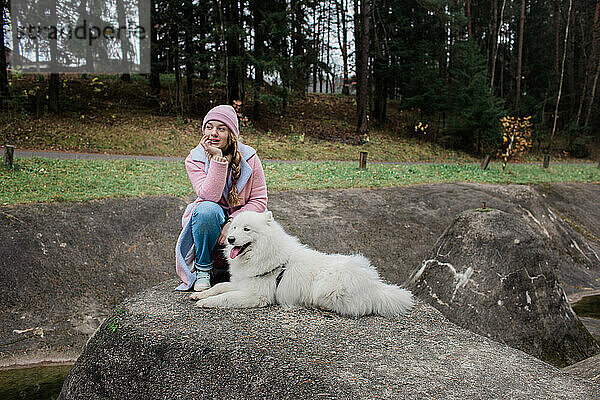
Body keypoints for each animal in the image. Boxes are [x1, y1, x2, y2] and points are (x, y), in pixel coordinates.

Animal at [190, 211, 414, 318]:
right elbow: (220, 287)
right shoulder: (241, 282)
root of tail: (374, 285)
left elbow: (225, 297)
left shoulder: (256, 294)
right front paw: (200, 294)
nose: (230, 239)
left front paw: (206, 303)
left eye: (247, 229)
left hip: (327, 286)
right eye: (234, 228)